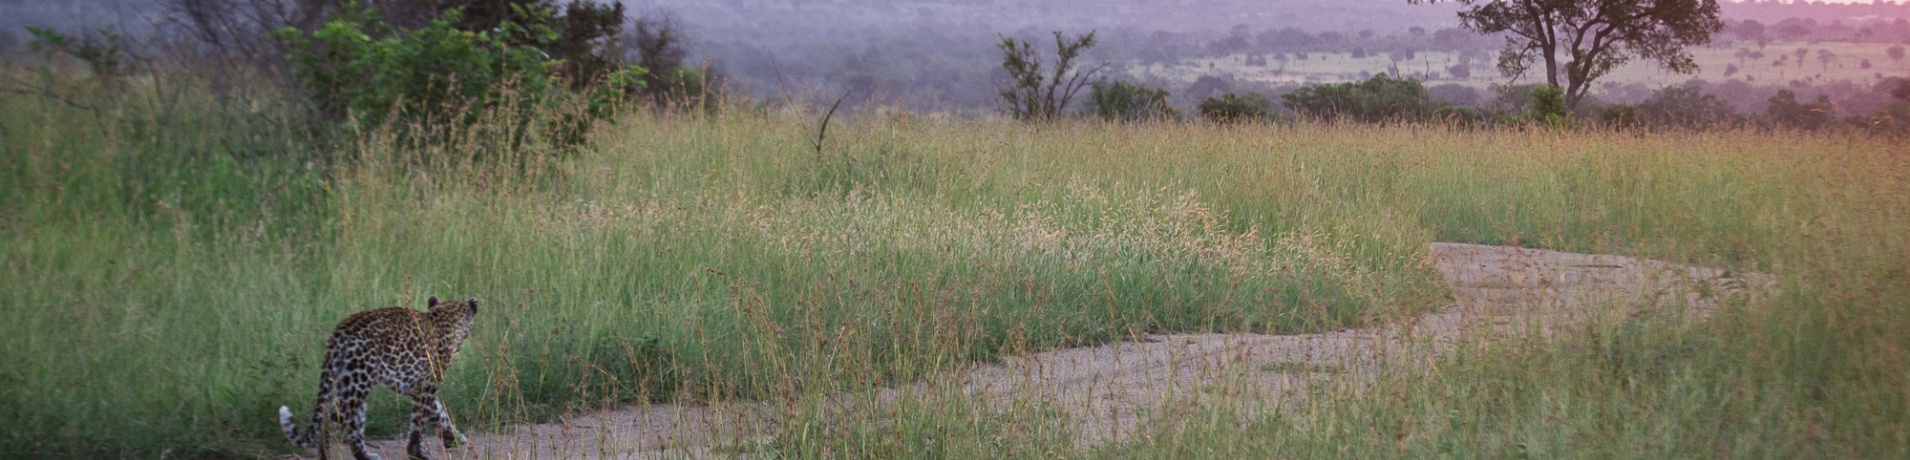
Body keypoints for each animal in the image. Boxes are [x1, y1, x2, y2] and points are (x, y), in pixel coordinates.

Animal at [278, 296, 479, 460]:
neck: (445, 317)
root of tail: (339, 333)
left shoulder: (417, 388)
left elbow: (438, 414)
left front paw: (453, 438)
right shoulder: (426, 387)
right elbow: (423, 422)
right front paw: (419, 452)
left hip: (351, 383)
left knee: (354, 429)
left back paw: (367, 456)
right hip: (357, 384)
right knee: (329, 425)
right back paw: (325, 456)